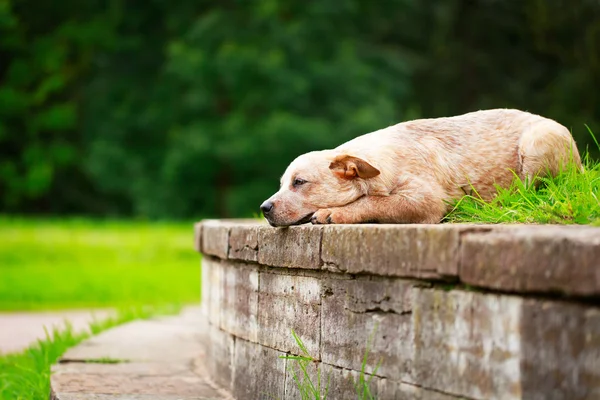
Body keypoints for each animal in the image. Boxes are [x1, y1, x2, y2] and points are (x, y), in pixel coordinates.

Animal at [258, 108, 580, 227]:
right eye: (281, 183)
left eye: (299, 182)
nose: (264, 208)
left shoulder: (425, 201)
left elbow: (375, 202)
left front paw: (334, 212)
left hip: (537, 143)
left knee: (529, 194)